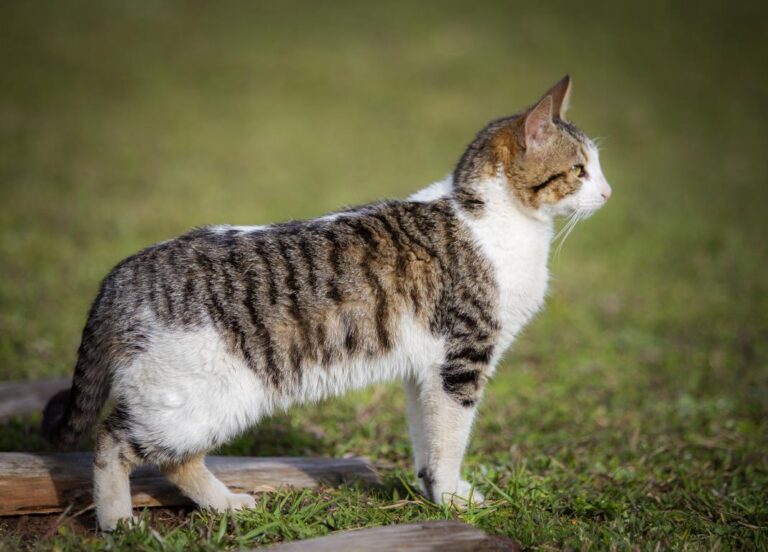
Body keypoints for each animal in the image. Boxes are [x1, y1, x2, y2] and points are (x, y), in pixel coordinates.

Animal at [42, 74, 612, 532]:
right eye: (580, 170)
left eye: (595, 168)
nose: (608, 193)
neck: (490, 218)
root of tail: (124, 273)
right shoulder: (462, 361)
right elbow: (451, 440)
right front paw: (453, 500)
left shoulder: (426, 370)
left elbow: (427, 439)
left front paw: (432, 493)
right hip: (199, 395)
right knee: (114, 441)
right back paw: (117, 519)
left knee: (173, 459)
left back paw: (225, 504)